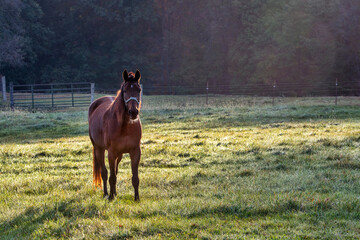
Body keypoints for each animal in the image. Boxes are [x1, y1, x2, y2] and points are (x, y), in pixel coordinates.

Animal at [88, 69, 143, 201]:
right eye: (125, 90)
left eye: (138, 90)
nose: (133, 112)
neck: (124, 126)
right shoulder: (111, 153)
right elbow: (111, 177)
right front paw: (111, 197)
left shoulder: (135, 152)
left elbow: (134, 178)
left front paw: (136, 198)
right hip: (99, 149)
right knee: (104, 173)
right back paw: (106, 194)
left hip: (120, 154)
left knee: (115, 171)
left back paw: (114, 192)